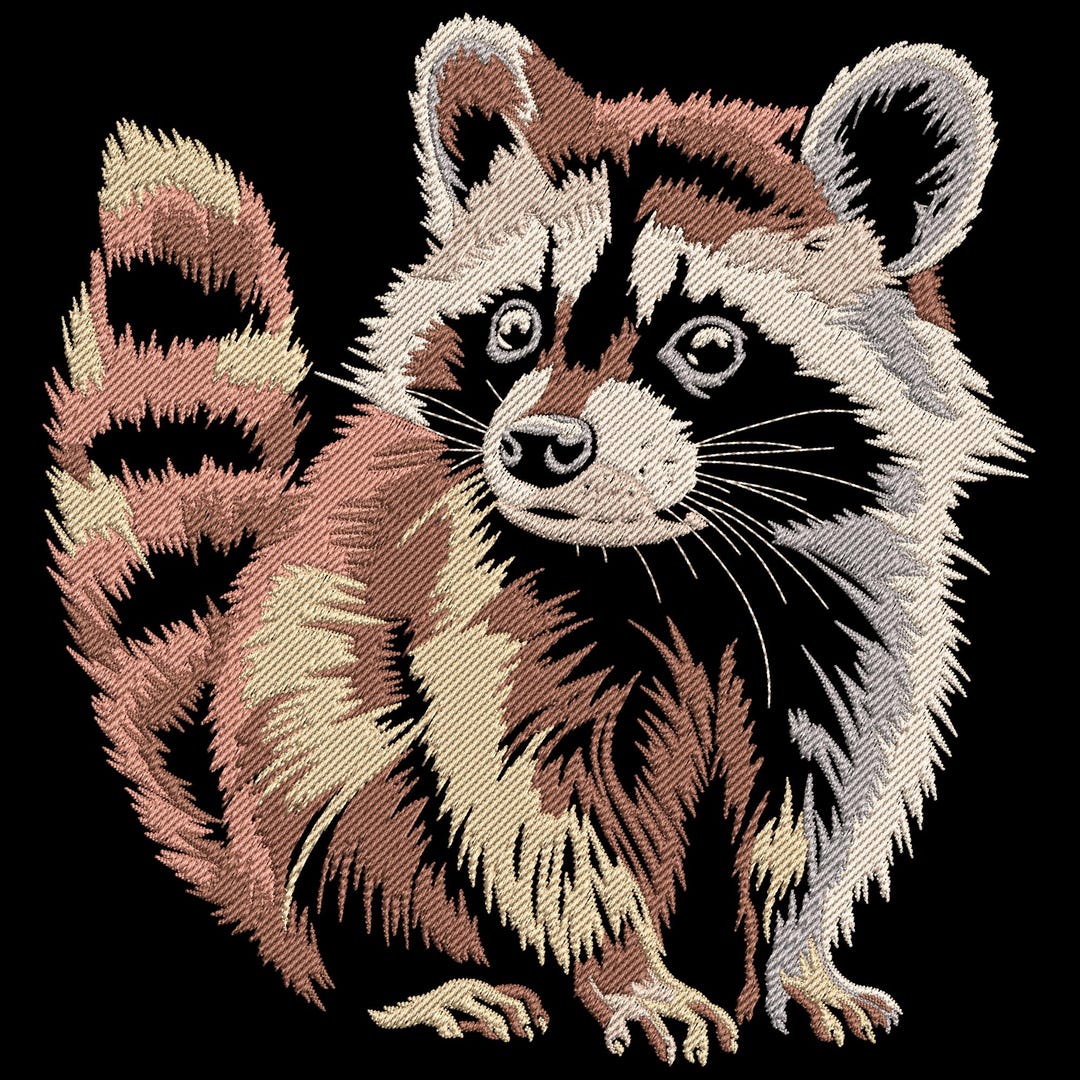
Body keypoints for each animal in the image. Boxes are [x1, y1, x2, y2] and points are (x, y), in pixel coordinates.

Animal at [47, 15, 1020, 1062]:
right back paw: (411, 978)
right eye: (516, 325)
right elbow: (537, 803)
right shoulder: (481, 594)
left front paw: (797, 958)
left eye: (708, 345)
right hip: (299, 764)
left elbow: (819, 796)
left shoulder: (848, 611)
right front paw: (628, 971)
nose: (537, 446)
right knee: (344, 782)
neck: (679, 548)